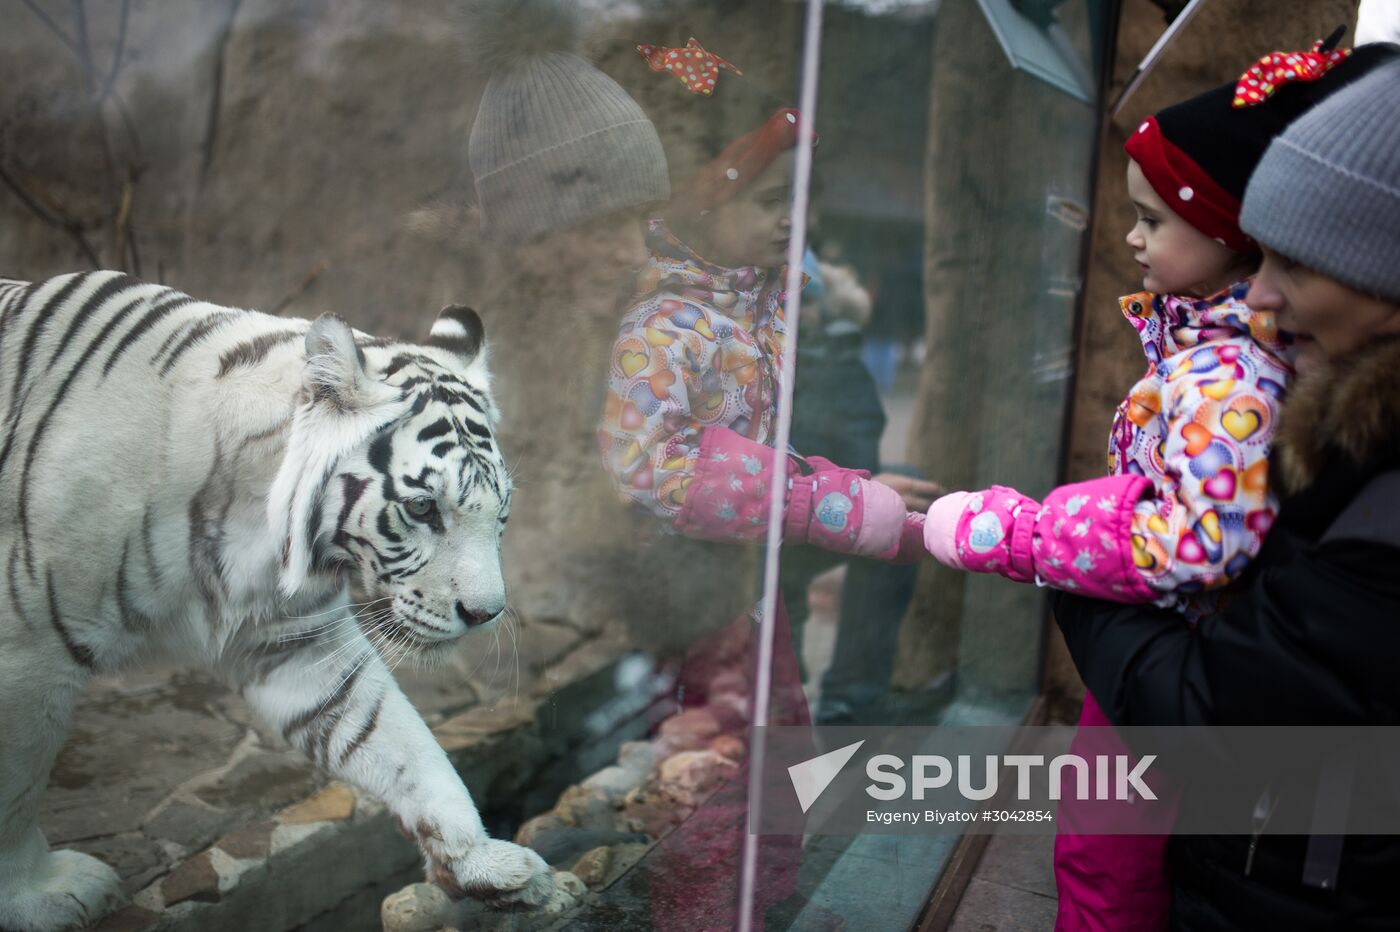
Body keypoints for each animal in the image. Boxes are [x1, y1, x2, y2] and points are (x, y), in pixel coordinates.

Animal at [0, 272, 557, 929]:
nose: (484, 614)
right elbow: (16, 784)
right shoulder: (27, 651)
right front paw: (38, 894)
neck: (246, 516)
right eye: (422, 508)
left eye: (501, 514)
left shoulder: (296, 639)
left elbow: (398, 743)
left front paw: (483, 863)